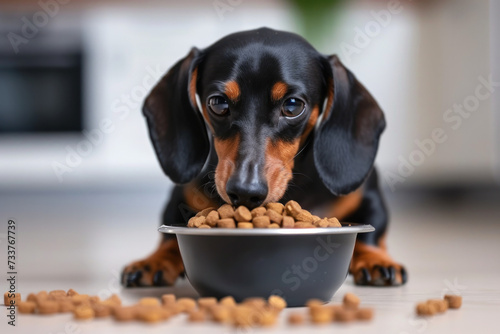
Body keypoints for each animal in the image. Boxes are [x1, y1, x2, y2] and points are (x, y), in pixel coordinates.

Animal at [121, 28, 406, 288]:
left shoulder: (369, 197)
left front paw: (375, 259)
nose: (245, 192)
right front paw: (155, 260)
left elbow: (373, 228)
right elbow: (169, 233)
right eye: (218, 103)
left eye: (292, 105)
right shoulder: (180, 198)